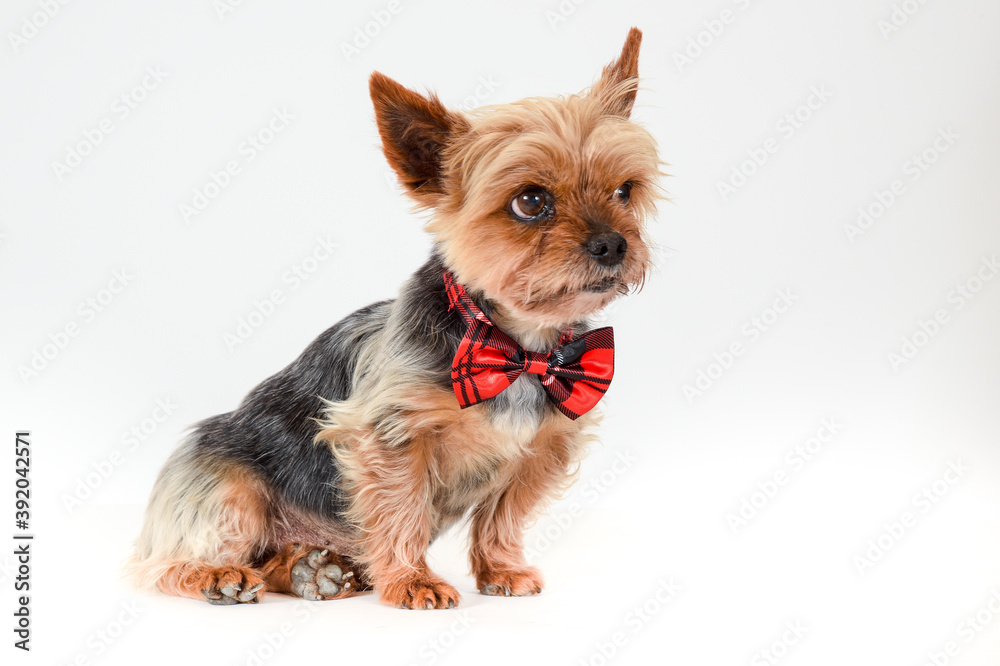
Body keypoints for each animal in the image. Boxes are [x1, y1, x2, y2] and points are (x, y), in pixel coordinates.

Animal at [127, 27, 661, 609]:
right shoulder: (389, 436)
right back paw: (219, 574)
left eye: (625, 190)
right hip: (225, 487)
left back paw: (314, 571)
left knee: (272, 559)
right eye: (530, 201)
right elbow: (401, 506)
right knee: (167, 562)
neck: (516, 345)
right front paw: (412, 580)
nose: (613, 244)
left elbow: (503, 515)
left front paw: (501, 569)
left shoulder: (542, 448)